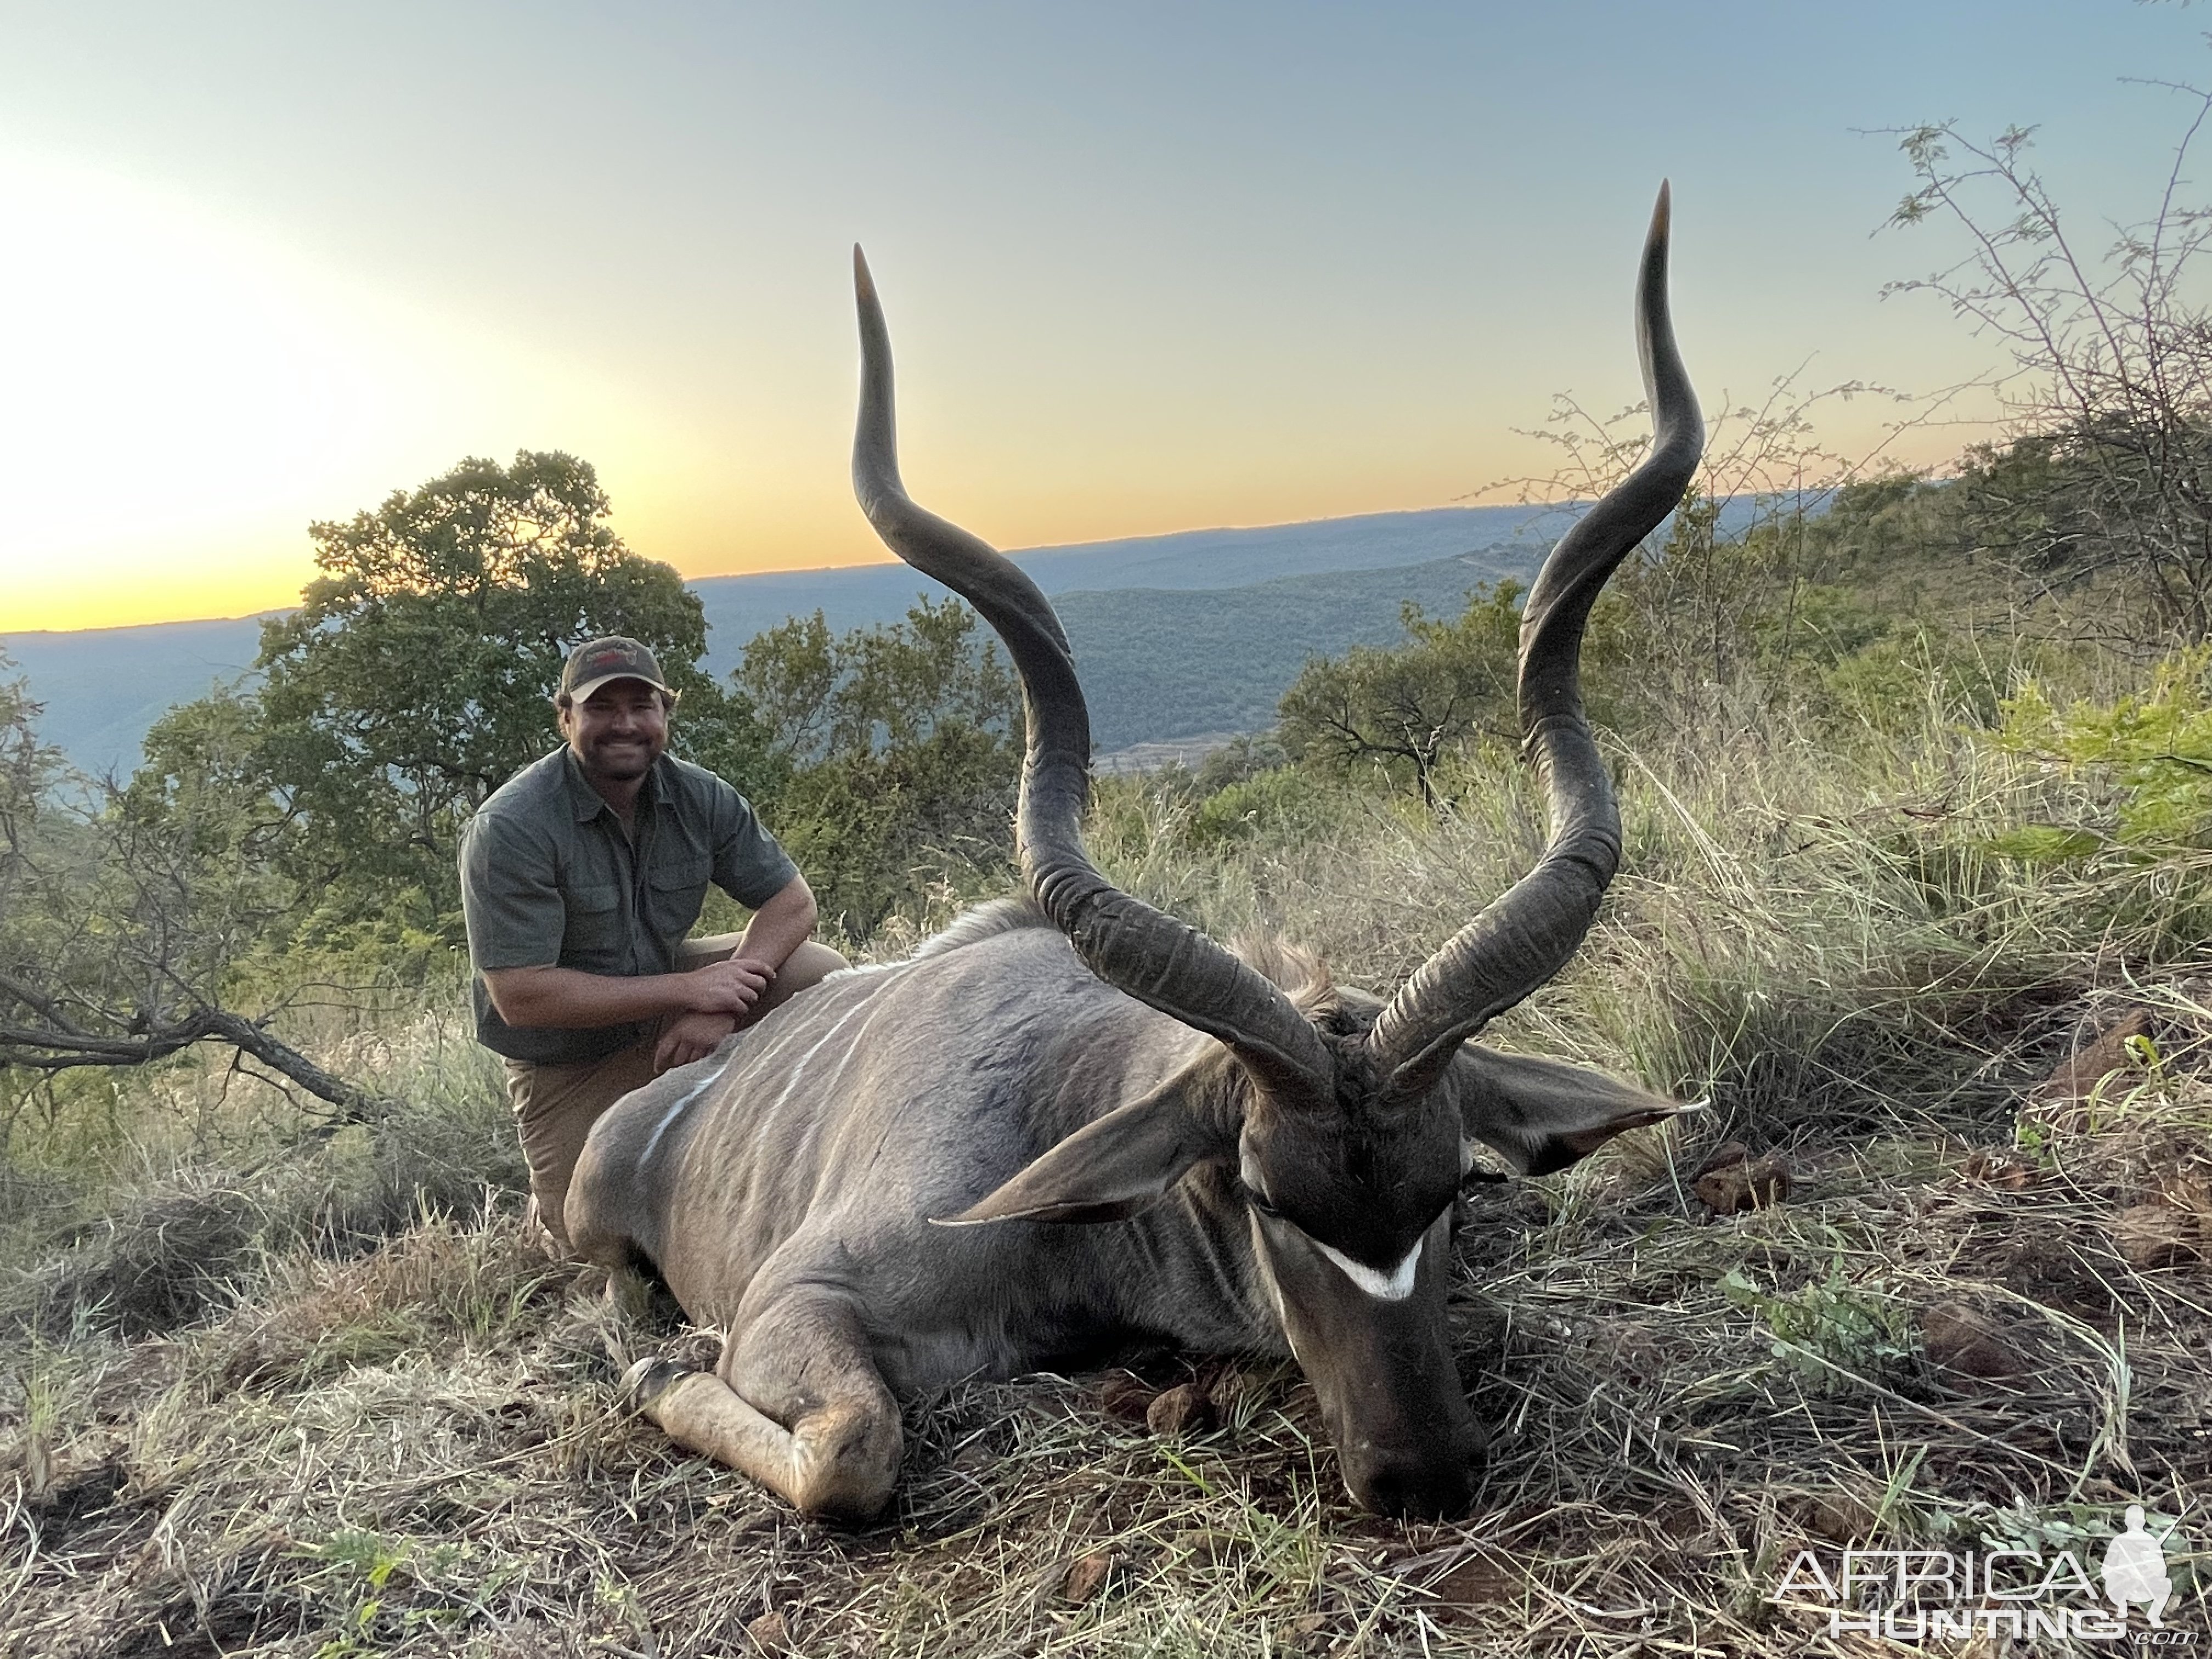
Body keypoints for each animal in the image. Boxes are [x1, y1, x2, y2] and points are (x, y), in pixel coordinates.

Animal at [562, 188, 1699, 1531]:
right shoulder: (800, 1300)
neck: (1065, 1103)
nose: (1422, 1474)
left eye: (1455, 1188)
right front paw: (661, 1370)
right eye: (1264, 1194)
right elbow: (851, 1455)